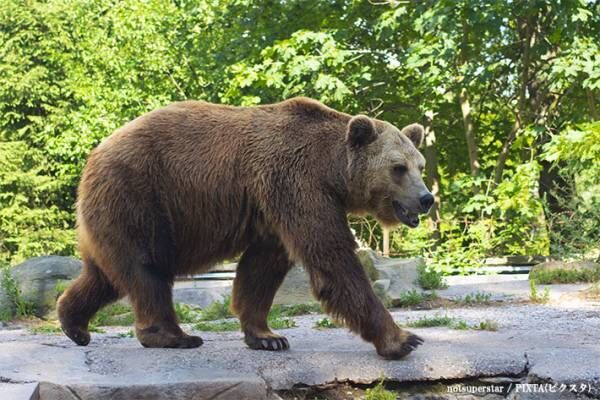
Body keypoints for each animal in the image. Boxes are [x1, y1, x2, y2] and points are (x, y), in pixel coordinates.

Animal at [57, 97, 432, 360]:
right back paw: (173, 335)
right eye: (398, 168)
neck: (331, 171)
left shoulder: (274, 207)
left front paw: (268, 336)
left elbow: (261, 269)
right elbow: (332, 259)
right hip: (138, 194)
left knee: (105, 275)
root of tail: (94, 155)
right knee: (147, 267)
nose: (426, 198)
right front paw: (403, 339)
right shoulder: (297, 183)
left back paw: (73, 323)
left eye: (420, 165)